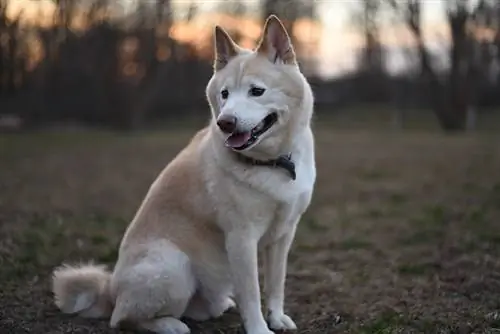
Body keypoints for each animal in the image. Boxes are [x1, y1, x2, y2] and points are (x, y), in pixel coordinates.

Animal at [51, 15, 316, 334]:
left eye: (257, 91)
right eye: (225, 94)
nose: (225, 123)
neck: (273, 162)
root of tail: (111, 290)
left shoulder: (283, 235)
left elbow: (276, 283)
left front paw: (277, 318)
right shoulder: (241, 238)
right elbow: (252, 293)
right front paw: (259, 329)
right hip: (174, 265)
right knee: (123, 317)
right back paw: (169, 325)